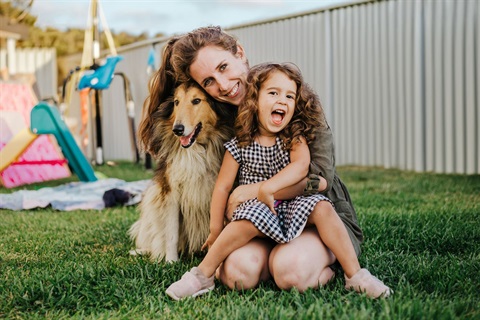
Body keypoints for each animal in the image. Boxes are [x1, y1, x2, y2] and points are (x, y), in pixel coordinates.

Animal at [129, 81, 236, 262]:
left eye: (197, 100)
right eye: (176, 102)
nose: (177, 129)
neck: (195, 150)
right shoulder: (171, 192)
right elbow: (171, 232)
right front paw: (171, 261)